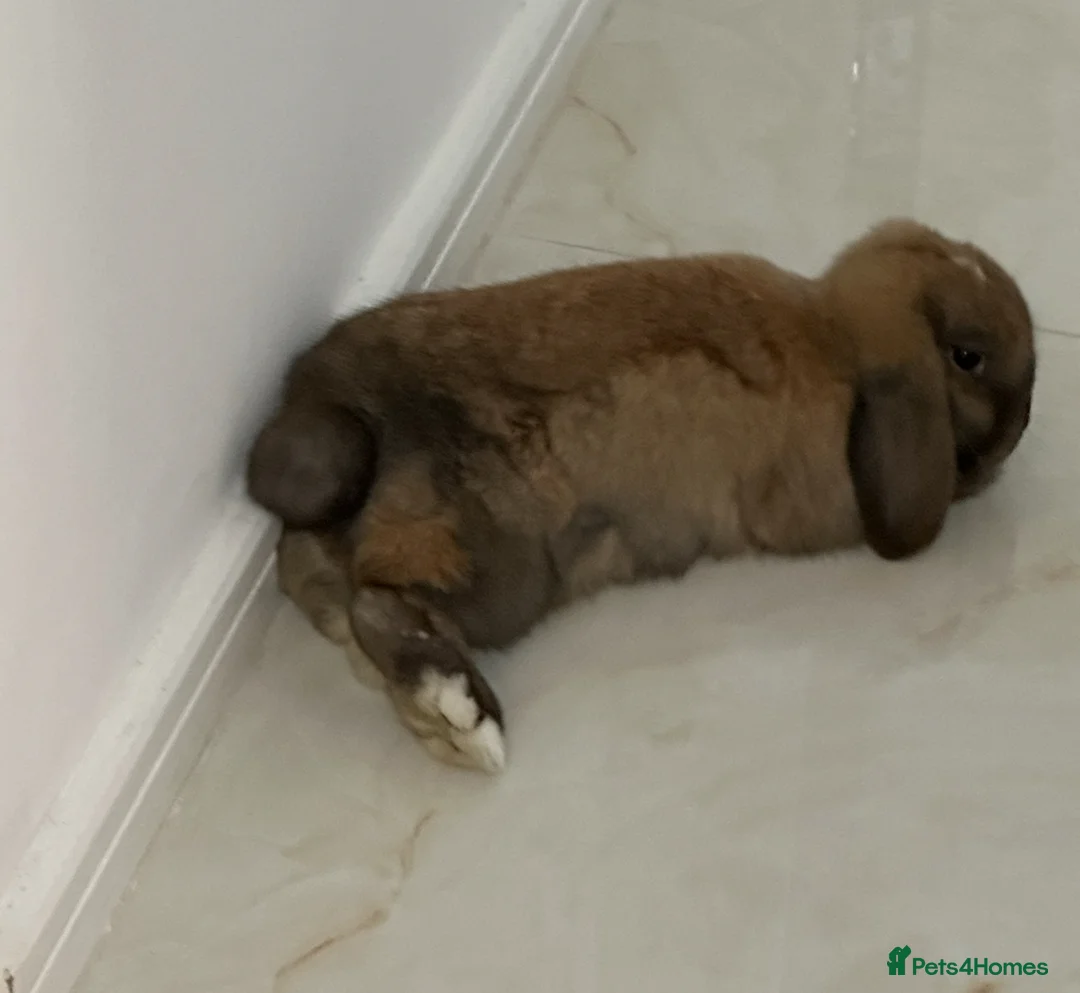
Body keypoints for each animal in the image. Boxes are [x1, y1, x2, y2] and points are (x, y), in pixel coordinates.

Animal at [247, 219, 1035, 773]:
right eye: (968, 356)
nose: (1016, 435)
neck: (840, 344)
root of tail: (358, 417)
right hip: (500, 569)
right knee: (382, 604)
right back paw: (469, 723)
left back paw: (446, 723)